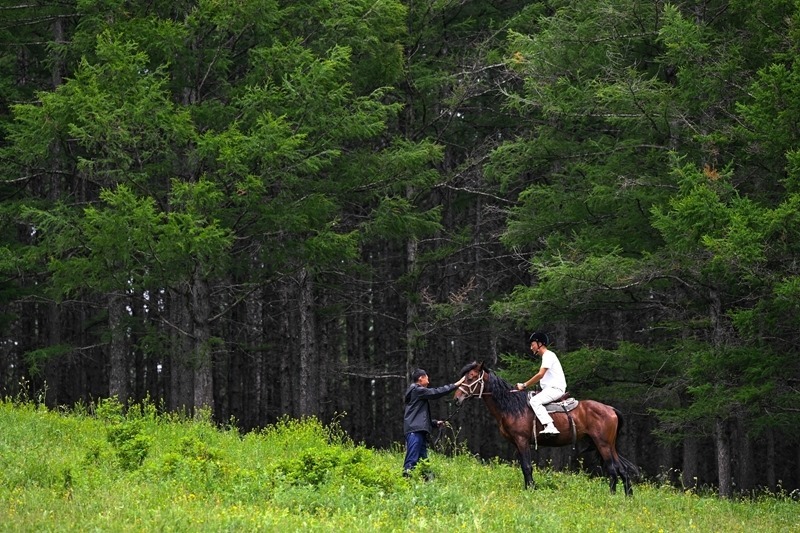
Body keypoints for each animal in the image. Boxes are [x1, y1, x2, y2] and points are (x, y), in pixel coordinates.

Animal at [454, 361, 638, 495]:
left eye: (471, 377)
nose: (456, 399)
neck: (513, 407)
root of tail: (610, 409)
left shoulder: (522, 440)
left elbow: (527, 466)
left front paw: (531, 490)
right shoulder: (516, 443)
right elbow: (524, 467)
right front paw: (529, 488)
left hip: (603, 444)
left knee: (612, 469)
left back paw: (612, 495)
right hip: (608, 445)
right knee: (621, 469)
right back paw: (628, 497)